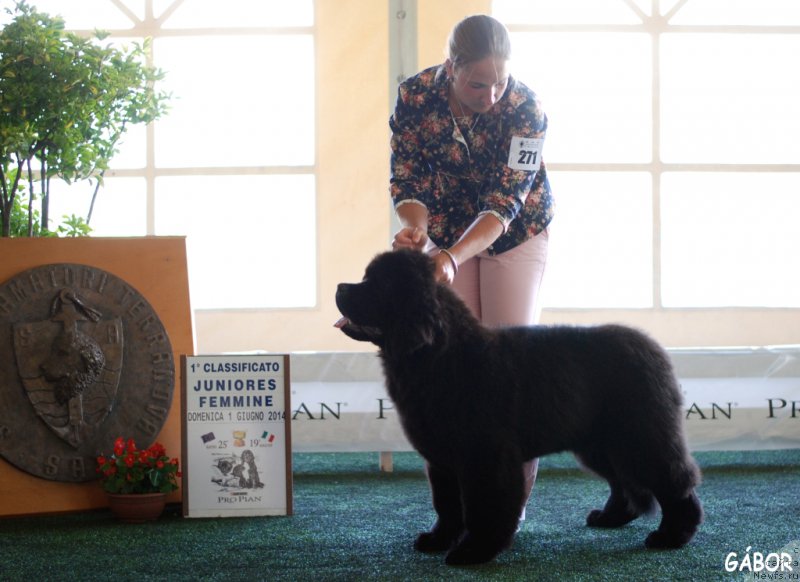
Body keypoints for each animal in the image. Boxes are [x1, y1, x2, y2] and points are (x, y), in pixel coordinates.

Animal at [334, 250, 704, 564]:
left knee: (674, 480)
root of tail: (654, 349)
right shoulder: (442, 458)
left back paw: (672, 535)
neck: (441, 357)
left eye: (379, 284)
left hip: (641, 436)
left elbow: (482, 506)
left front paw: (474, 551)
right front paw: (438, 540)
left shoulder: (485, 455)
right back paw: (609, 518)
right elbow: (447, 505)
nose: (339, 287)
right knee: (622, 483)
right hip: (600, 443)